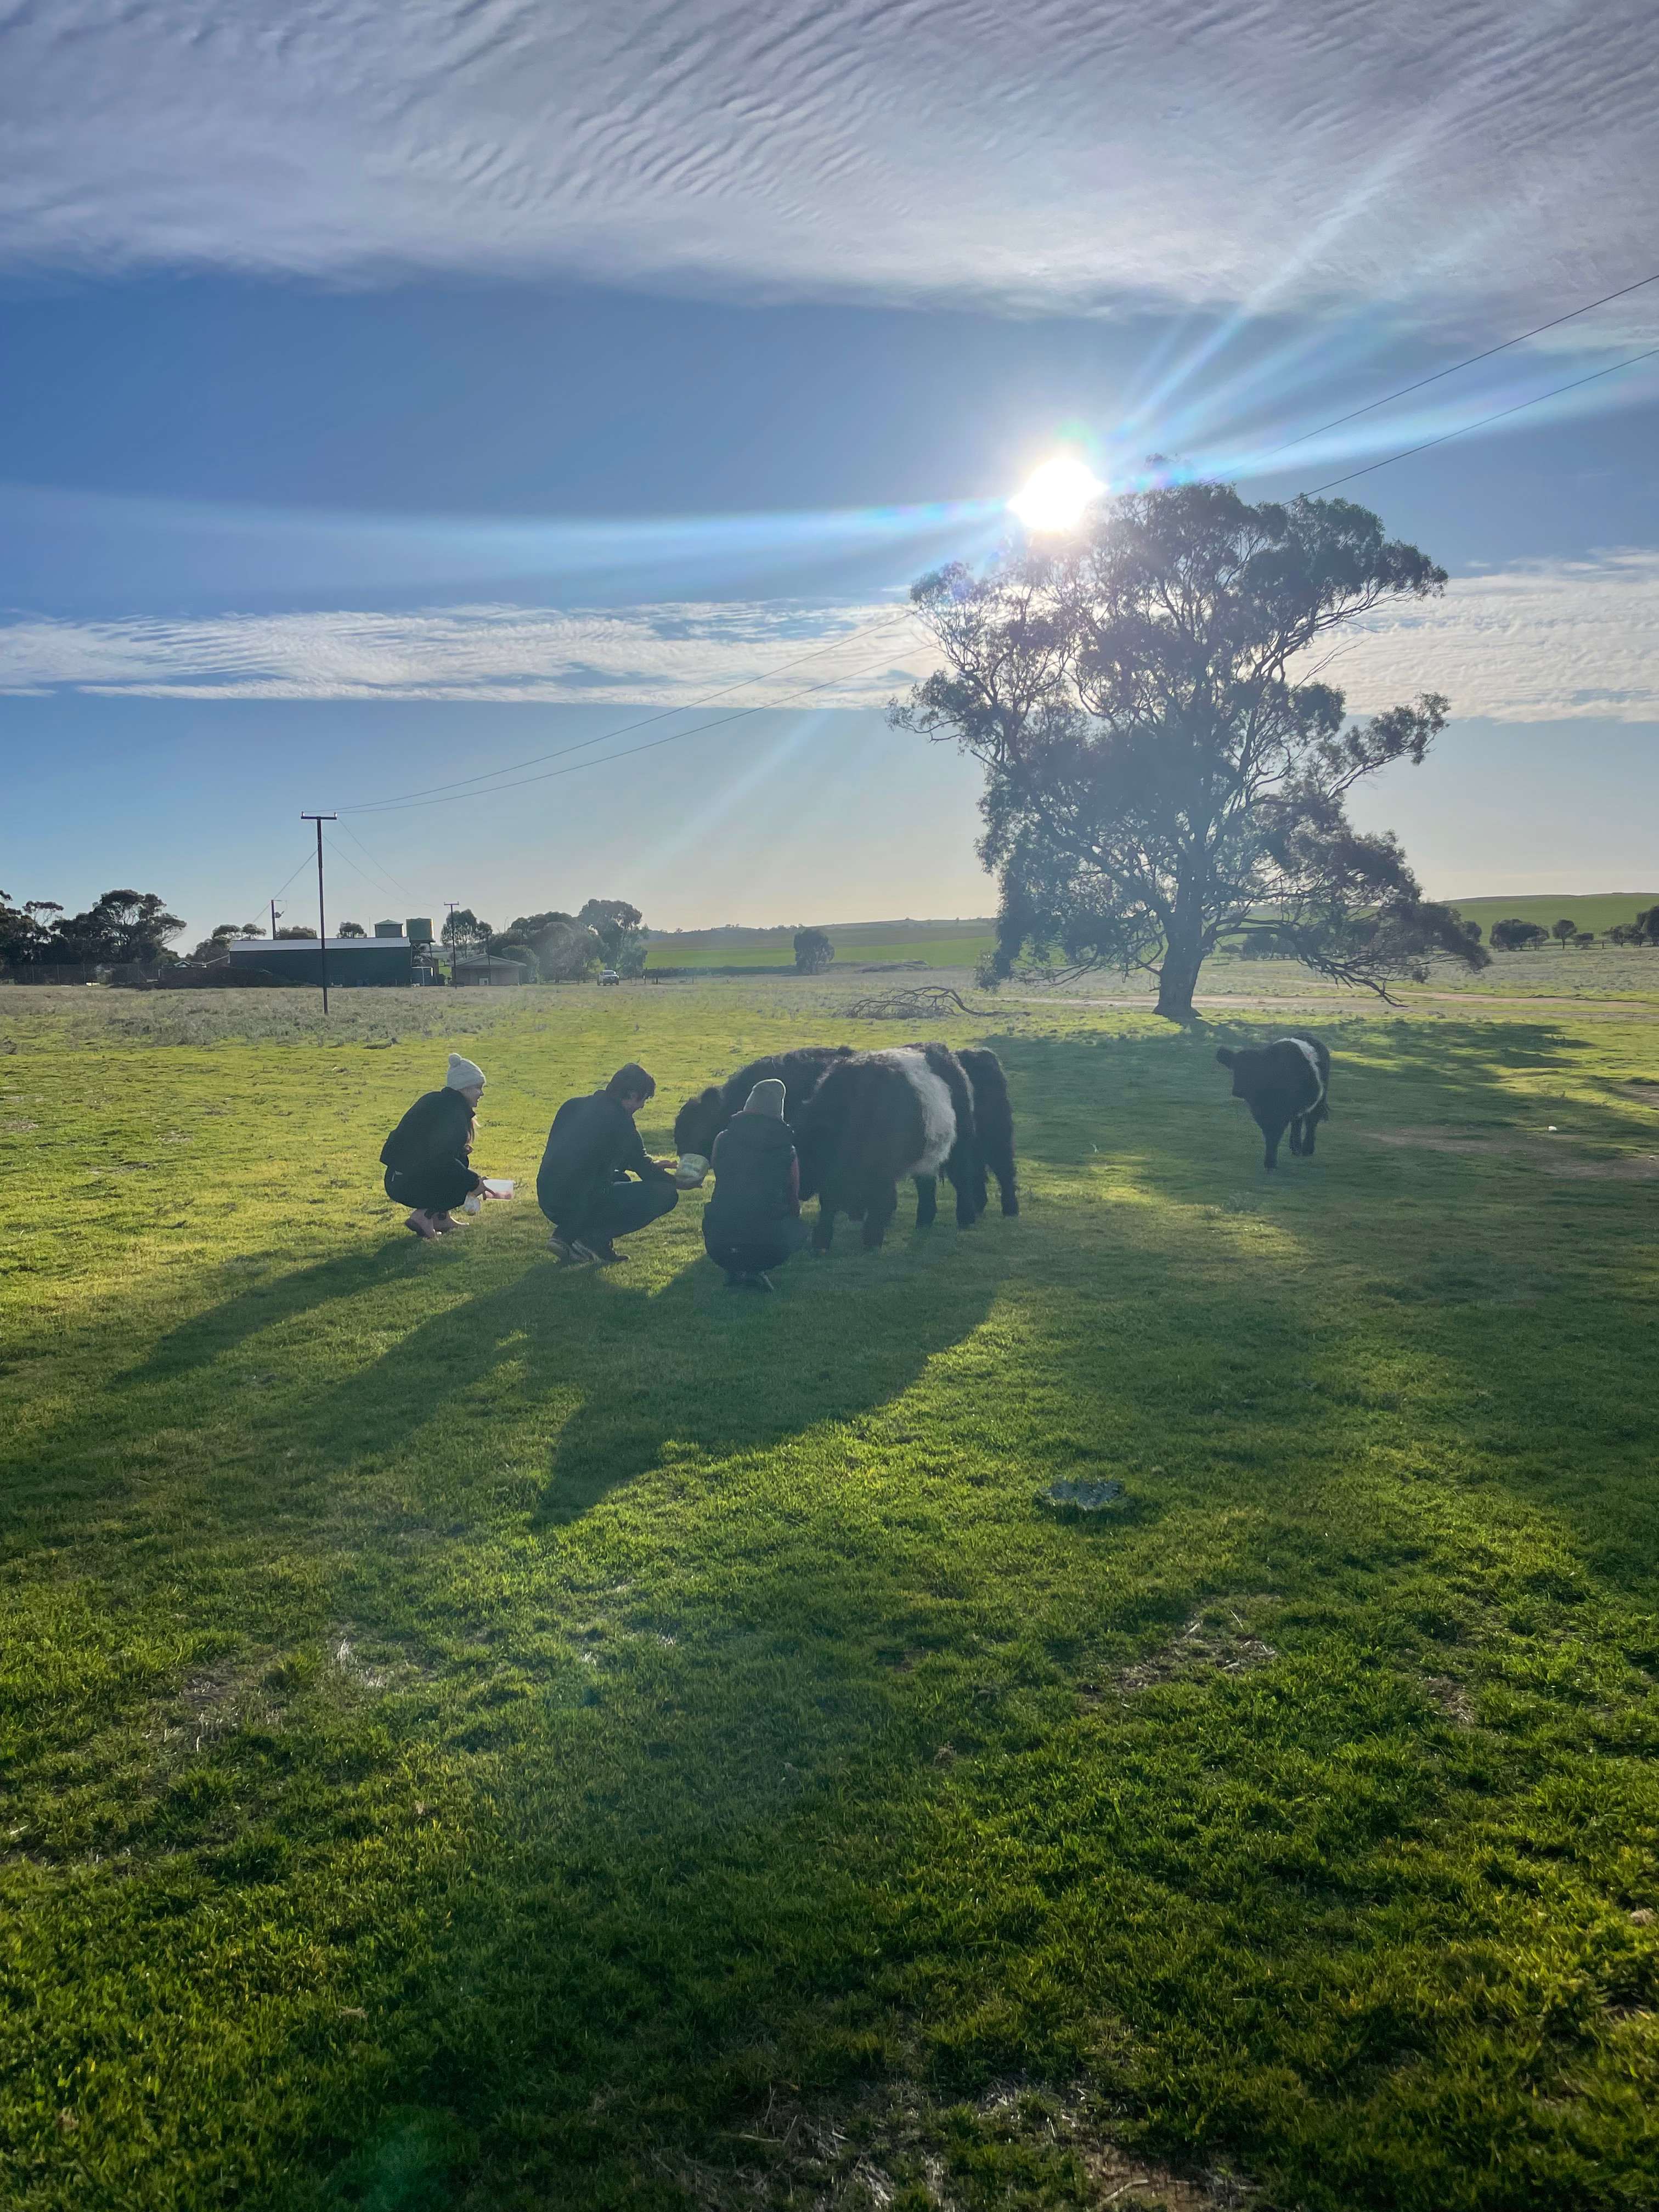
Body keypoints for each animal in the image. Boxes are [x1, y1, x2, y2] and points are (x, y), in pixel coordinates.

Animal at [1216, 1036, 1331, 1170]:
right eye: (1235, 1069)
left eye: (1255, 1070)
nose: (1237, 1091)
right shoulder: (1261, 1113)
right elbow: (1269, 1133)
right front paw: (1270, 1160)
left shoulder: (1281, 1113)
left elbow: (1275, 1134)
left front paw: (1271, 1163)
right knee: (1297, 1122)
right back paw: (1296, 1148)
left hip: (1320, 1098)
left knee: (1311, 1121)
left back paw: (1307, 1149)